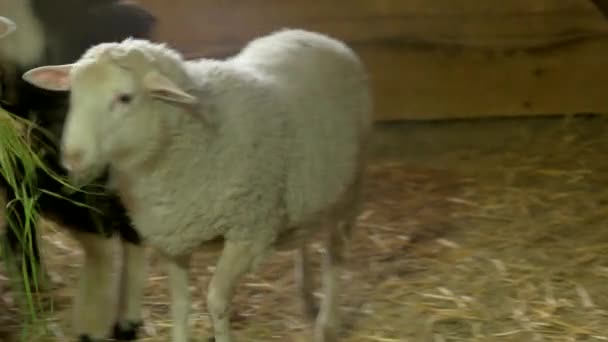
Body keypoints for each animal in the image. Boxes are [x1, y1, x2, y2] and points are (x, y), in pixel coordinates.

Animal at [23, 28, 372, 342]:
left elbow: (216, 301)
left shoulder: (249, 233)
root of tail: (318, 37)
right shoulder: (173, 239)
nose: (72, 155)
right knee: (305, 238)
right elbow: (180, 305)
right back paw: (306, 298)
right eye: (73, 95)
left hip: (351, 189)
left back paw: (327, 324)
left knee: (336, 254)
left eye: (124, 98)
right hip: (309, 189)